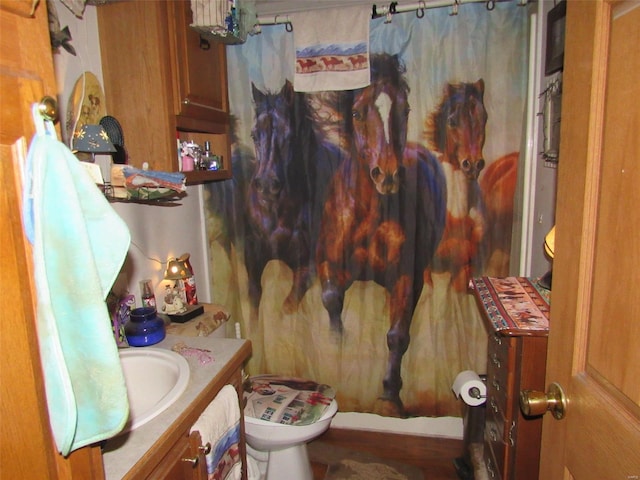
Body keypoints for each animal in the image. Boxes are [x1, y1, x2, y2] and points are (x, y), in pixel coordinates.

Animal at [316, 54, 444, 414]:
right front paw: (338, 347)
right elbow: (331, 300)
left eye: (405, 110)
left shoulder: (404, 277)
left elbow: (397, 335)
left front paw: (389, 396)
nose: (387, 175)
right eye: (357, 112)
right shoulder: (329, 263)